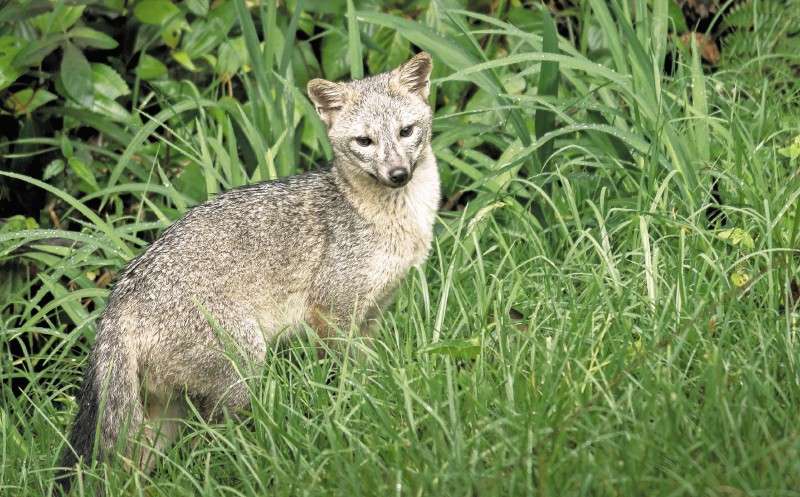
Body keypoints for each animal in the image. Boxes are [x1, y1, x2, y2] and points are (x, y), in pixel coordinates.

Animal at [56, 52, 439, 492]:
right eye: (365, 141)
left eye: (406, 131)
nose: (398, 174)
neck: (393, 220)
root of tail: (119, 301)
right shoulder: (332, 314)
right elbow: (343, 382)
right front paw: (352, 412)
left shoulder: (372, 316)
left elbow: (369, 372)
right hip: (243, 369)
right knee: (211, 445)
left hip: (161, 419)